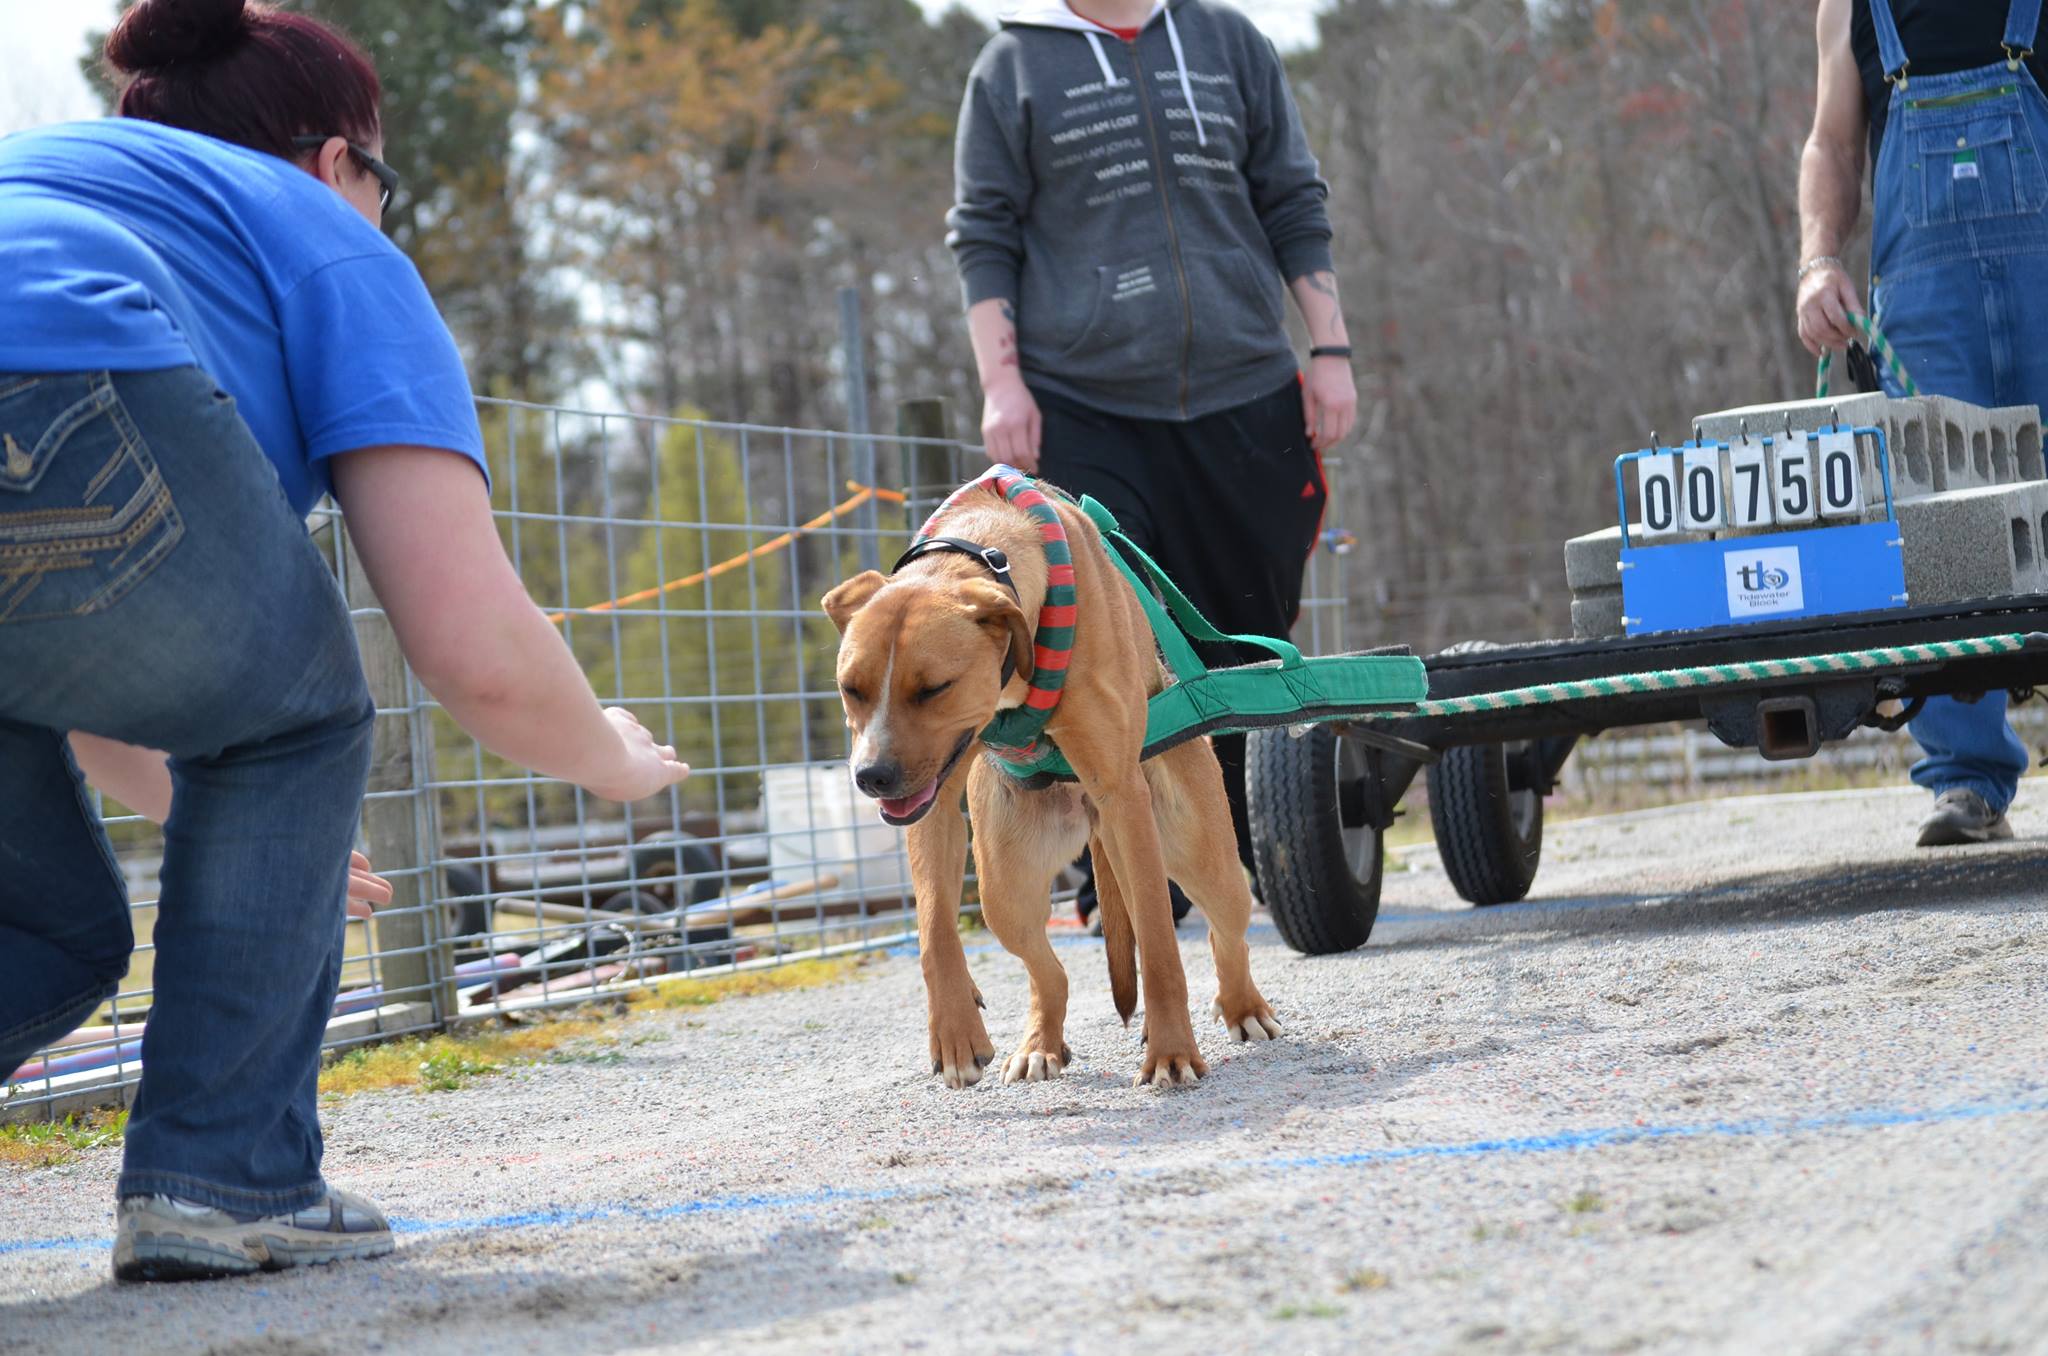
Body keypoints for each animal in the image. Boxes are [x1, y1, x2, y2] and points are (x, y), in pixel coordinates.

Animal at [819, 477, 1277, 1097]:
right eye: (852, 688)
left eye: (934, 688)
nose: (870, 777)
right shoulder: (931, 802)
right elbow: (934, 928)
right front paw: (955, 1032)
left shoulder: (1120, 792)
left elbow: (1161, 950)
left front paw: (1172, 1052)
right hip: (1007, 885)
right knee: (1046, 968)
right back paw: (1040, 1043)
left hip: (1196, 853)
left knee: (1223, 932)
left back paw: (1242, 1007)